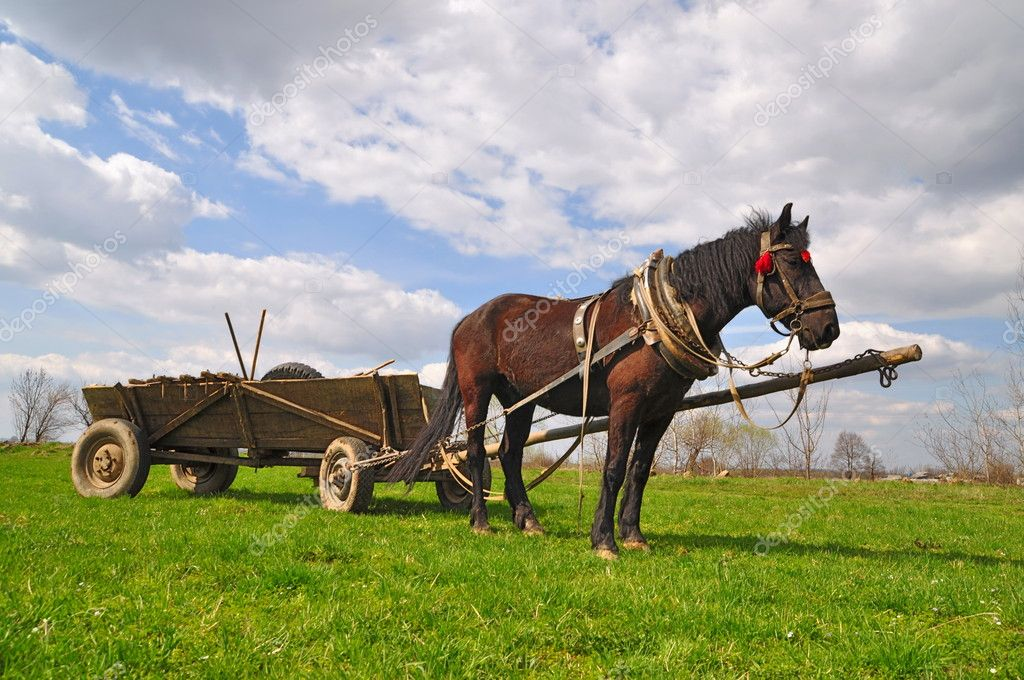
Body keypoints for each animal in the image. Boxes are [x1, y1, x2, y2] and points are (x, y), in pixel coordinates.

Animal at [391, 205, 839, 557]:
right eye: (795, 262)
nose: (829, 327)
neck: (657, 318)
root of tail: (470, 318)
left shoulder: (661, 410)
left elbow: (639, 470)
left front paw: (633, 535)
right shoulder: (627, 403)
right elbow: (614, 468)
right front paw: (604, 540)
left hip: (523, 399)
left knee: (510, 453)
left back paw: (528, 520)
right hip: (477, 393)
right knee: (476, 452)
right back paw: (481, 521)